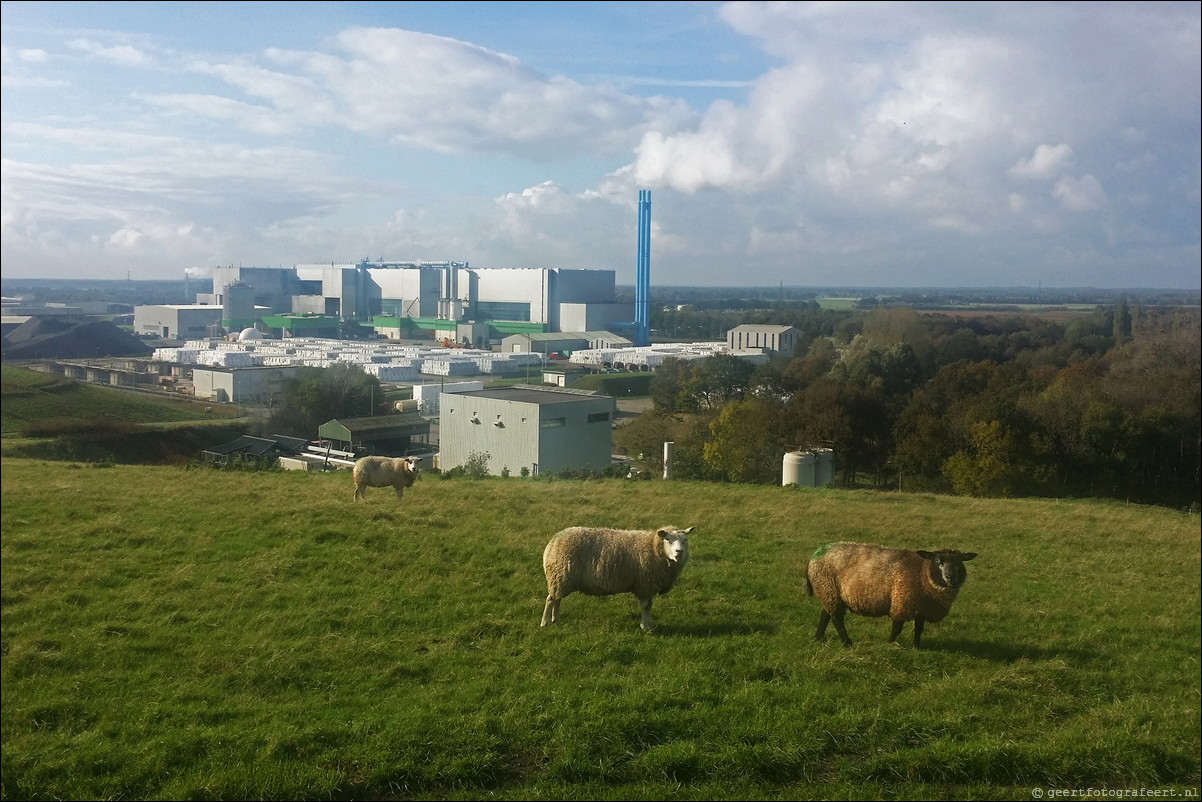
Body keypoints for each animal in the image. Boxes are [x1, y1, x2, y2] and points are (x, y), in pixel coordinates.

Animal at [538, 526, 697, 634]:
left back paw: (556, 620)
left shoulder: (648, 586)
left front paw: (649, 624)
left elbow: (649, 606)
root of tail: (553, 541)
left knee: (557, 600)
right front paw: (645, 626)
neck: (653, 547)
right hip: (560, 577)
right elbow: (646, 606)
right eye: (668, 540)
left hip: (560, 580)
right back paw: (545, 623)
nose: (679, 552)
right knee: (550, 600)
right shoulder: (644, 585)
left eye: (685, 540)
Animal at [798, 543, 976, 649]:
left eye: (960, 563)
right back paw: (847, 643)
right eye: (938, 561)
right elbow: (897, 628)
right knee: (836, 620)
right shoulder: (901, 603)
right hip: (828, 589)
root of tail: (813, 556)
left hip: (830, 594)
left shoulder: (921, 608)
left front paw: (917, 647)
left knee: (825, 615)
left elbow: (919, 629)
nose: (950, 578)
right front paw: (890, 644)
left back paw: (817, 638)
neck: (922, 573)